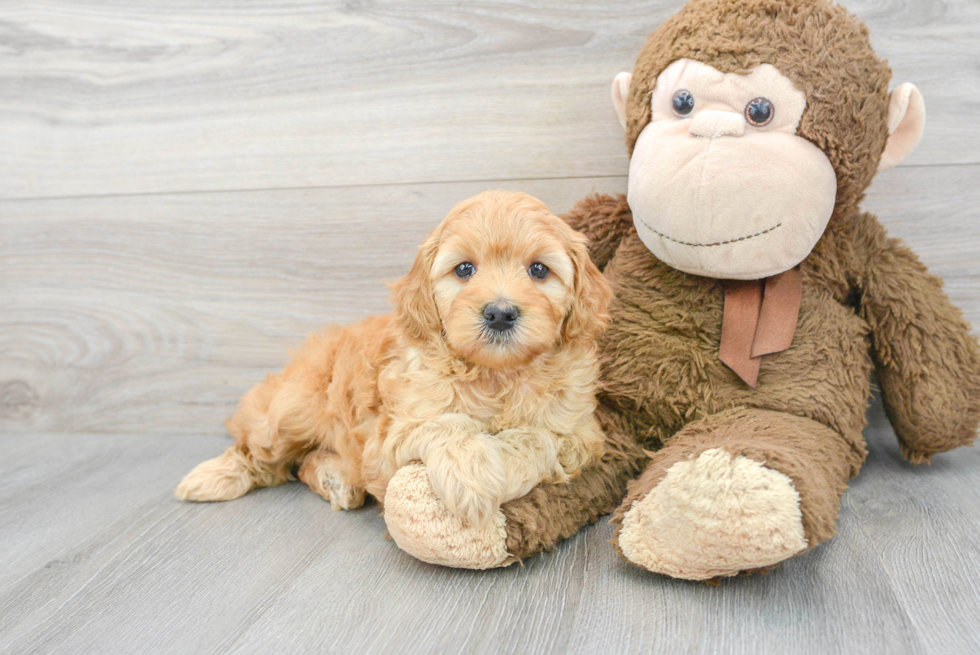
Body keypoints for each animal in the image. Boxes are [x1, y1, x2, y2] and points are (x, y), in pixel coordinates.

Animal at [172, 190, 608, 528]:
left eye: (539, 270)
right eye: (464, 269)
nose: (500, 313)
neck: (496, 374)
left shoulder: (580, 435)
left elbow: (535, 437)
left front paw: (497, 465)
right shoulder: (388, 440)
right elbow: (446, 424)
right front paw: (470, 476)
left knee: (304, 462)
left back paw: (336, 478)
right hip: (290, 409)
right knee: (262, 453)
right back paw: (212, 477)